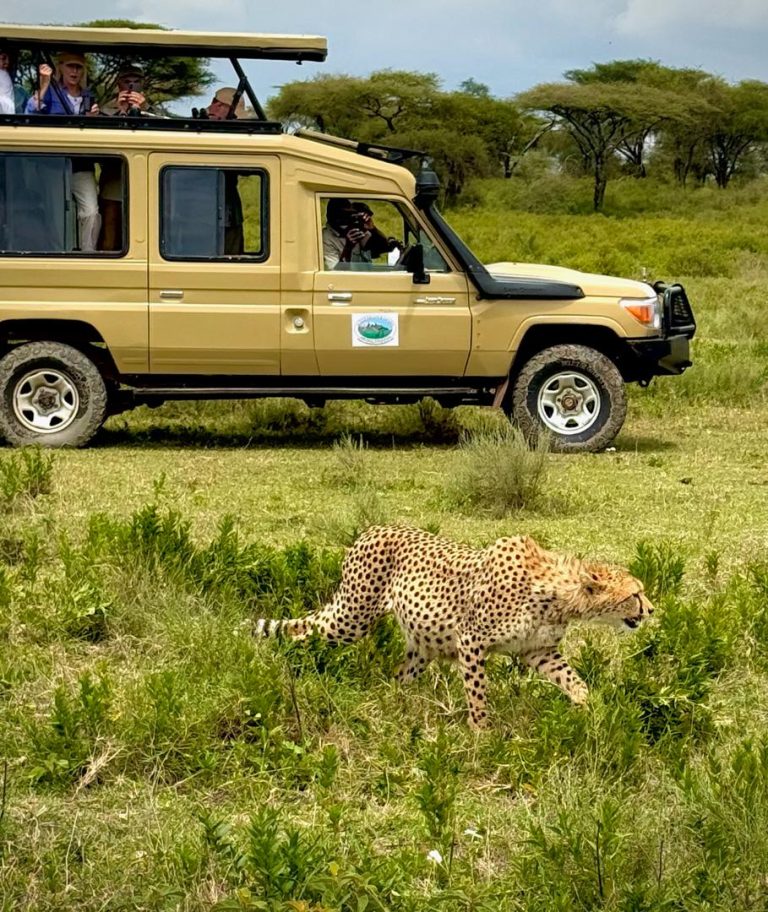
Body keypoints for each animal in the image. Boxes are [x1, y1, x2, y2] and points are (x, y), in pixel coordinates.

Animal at [252, 525, 654, 728]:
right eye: (636, 593)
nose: (651, 609)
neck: (557, 594)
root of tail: (373, 528)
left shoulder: (538, 651)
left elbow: (573, 679)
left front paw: (588, 707)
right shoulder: (470, 641)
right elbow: (477, 694)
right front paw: (483, 734)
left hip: (420, 645)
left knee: (398, 677)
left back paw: (398, 704)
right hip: (352, 617)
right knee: (307, 631)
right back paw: (291, 664)